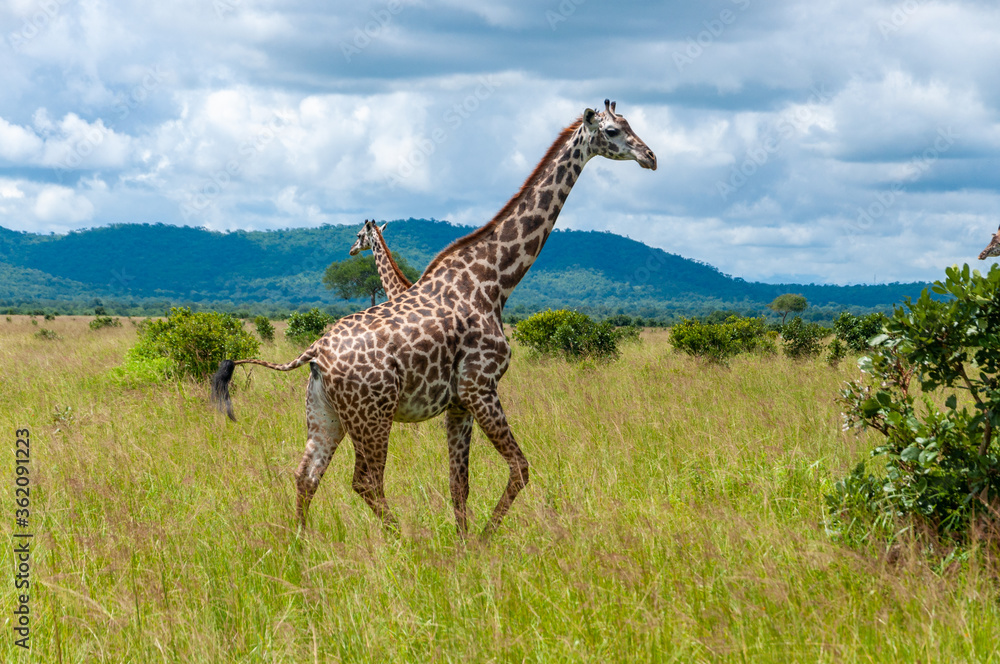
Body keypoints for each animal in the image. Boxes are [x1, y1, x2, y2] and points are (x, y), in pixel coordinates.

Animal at [212, 100, 657, 538]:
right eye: (613, 131)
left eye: (629, 124)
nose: (650, 157)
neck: (494, 281)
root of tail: (315, 351)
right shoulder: (481, 386)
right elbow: (520, 467)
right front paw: (483, 539)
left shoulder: (459, 402)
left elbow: (459, 483)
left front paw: (464, 545)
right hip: (372, 415)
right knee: (366, 480)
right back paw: (404, 540)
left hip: (325, 413)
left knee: (308, 474)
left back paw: (302, 544)